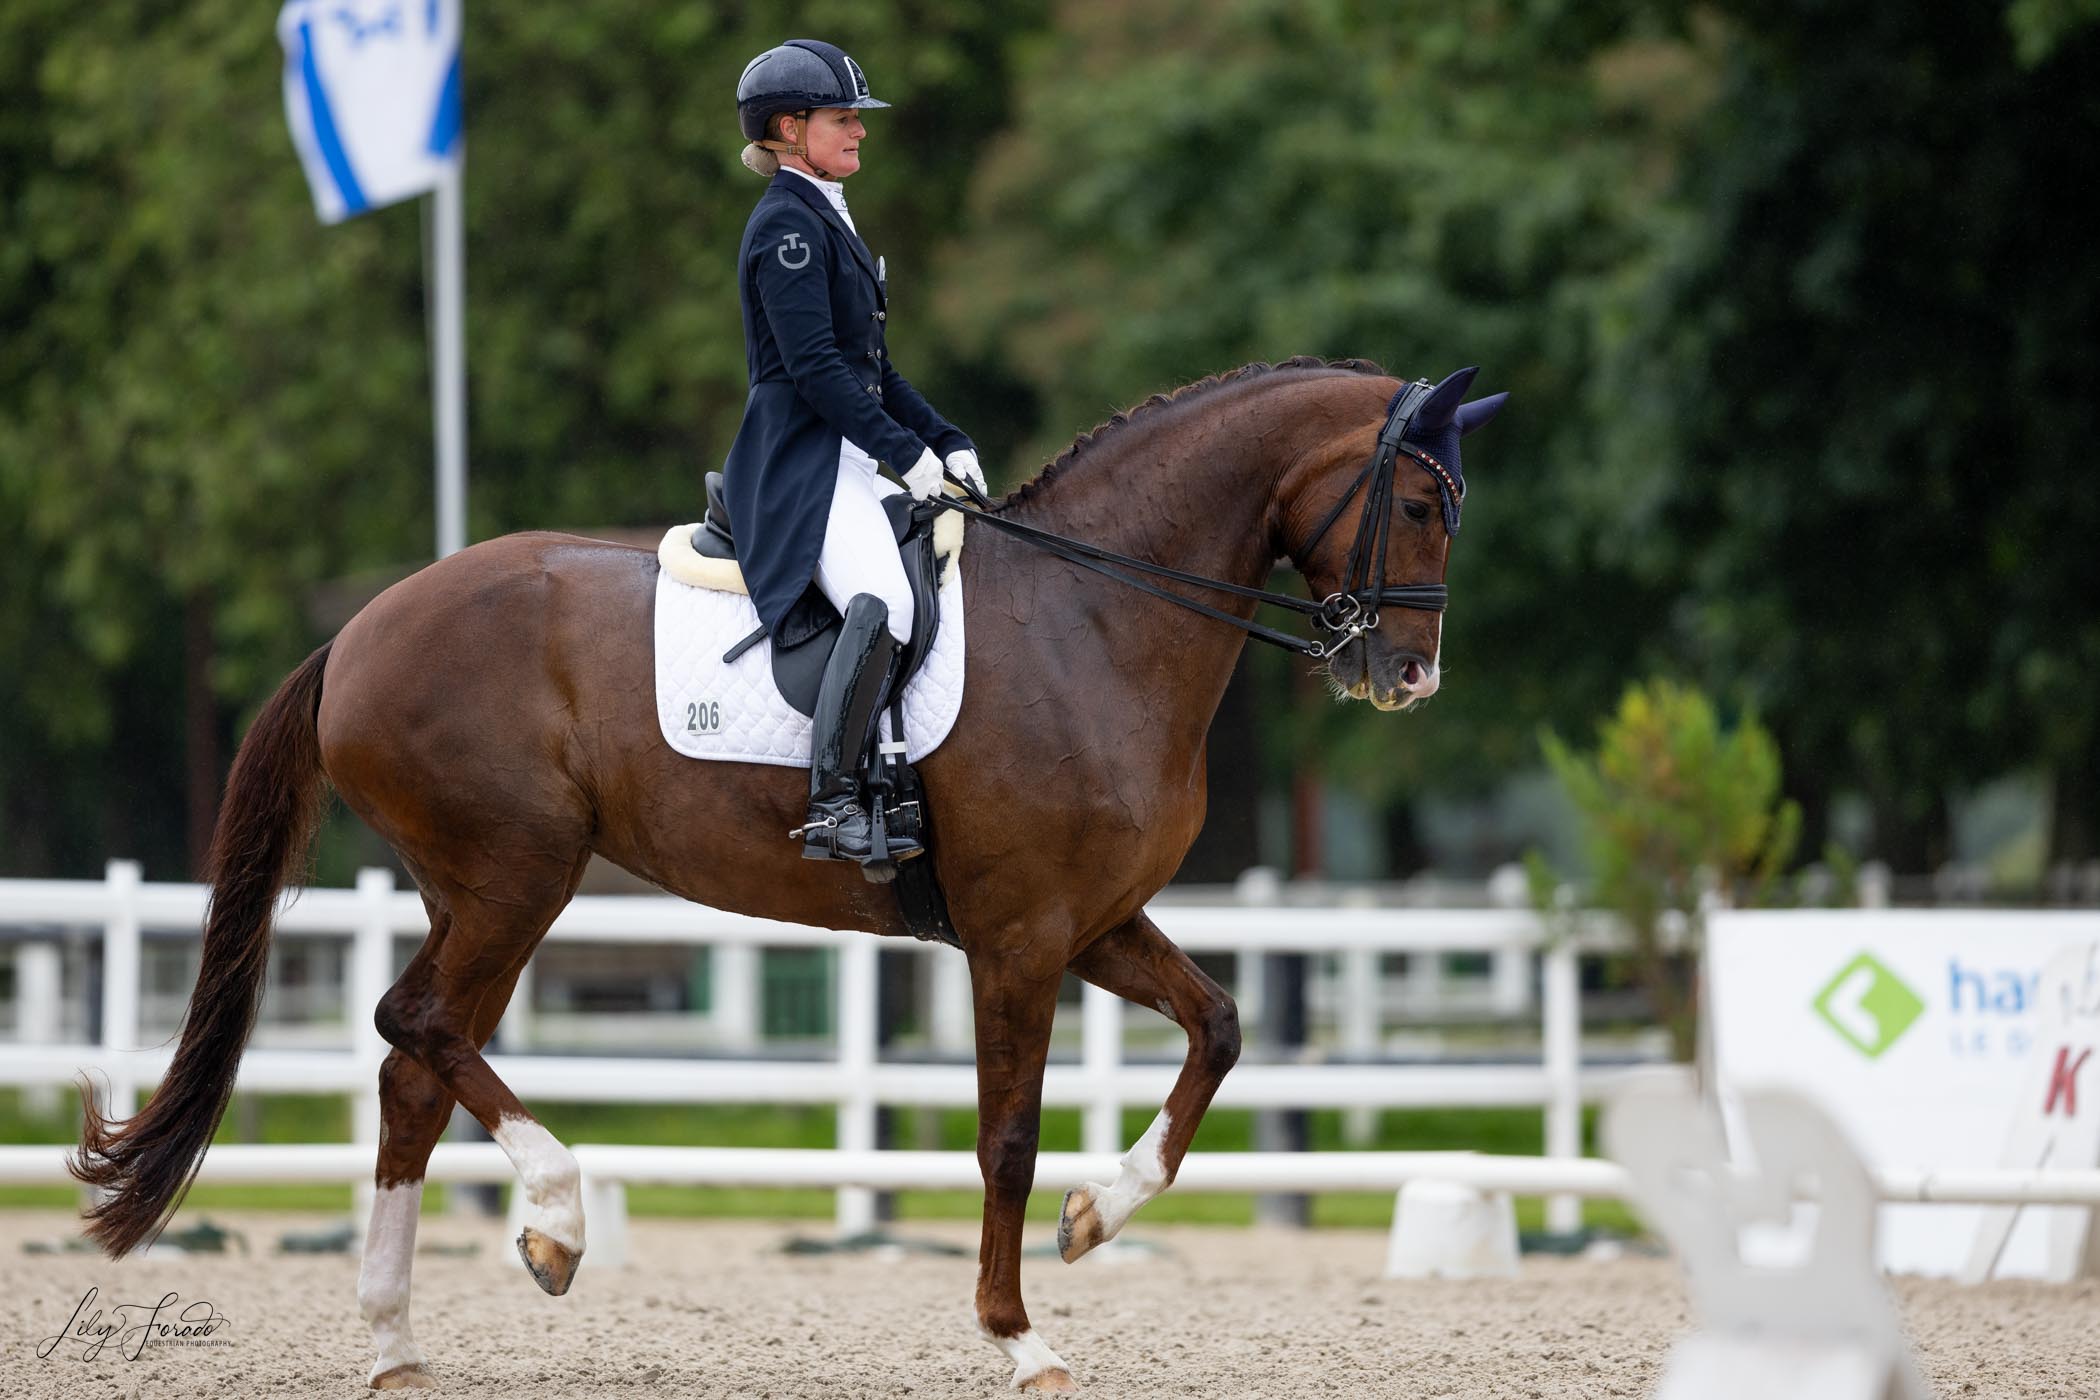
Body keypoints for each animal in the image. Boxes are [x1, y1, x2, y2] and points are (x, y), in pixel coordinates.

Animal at [69, 352, 1511, 1393]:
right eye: (1418, 504)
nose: (1411, 677)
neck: (1097, 620)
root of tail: (362, 629)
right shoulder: (1021, 935)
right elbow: (1004, 1136)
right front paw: (1018, 1334)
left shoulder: (1098, 922)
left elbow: (1218, 1028)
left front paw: (1097, 1217)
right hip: (515, 875)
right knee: (410, 1021)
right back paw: (557, 1215)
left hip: (482, 890)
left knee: (412, 1070)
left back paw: (397, 1335)